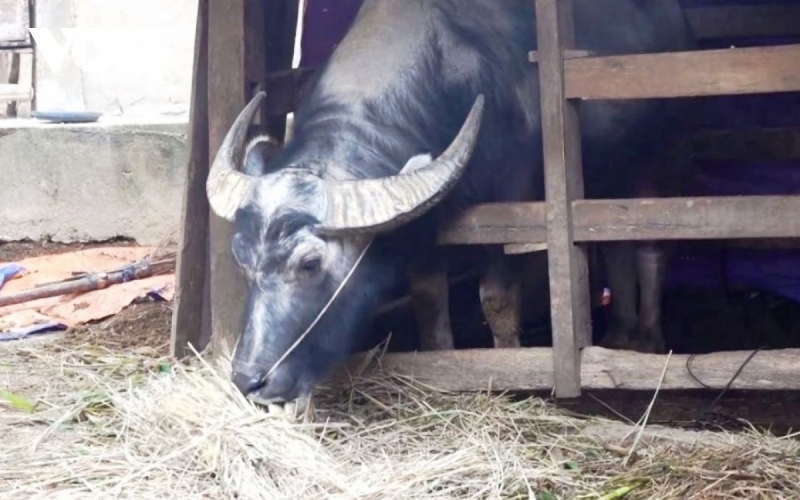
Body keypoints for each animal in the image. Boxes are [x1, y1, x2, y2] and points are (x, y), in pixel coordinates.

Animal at [205, 0, 692, 406]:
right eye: (241, 257)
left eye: (309, 263)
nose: (249, 380)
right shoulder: (421, 227)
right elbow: (428, 297)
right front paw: (443, 359)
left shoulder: (512, 209)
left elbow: (497, 298)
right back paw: (620, 331)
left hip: (657, 154)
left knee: (650, 240)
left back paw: (648, 338)